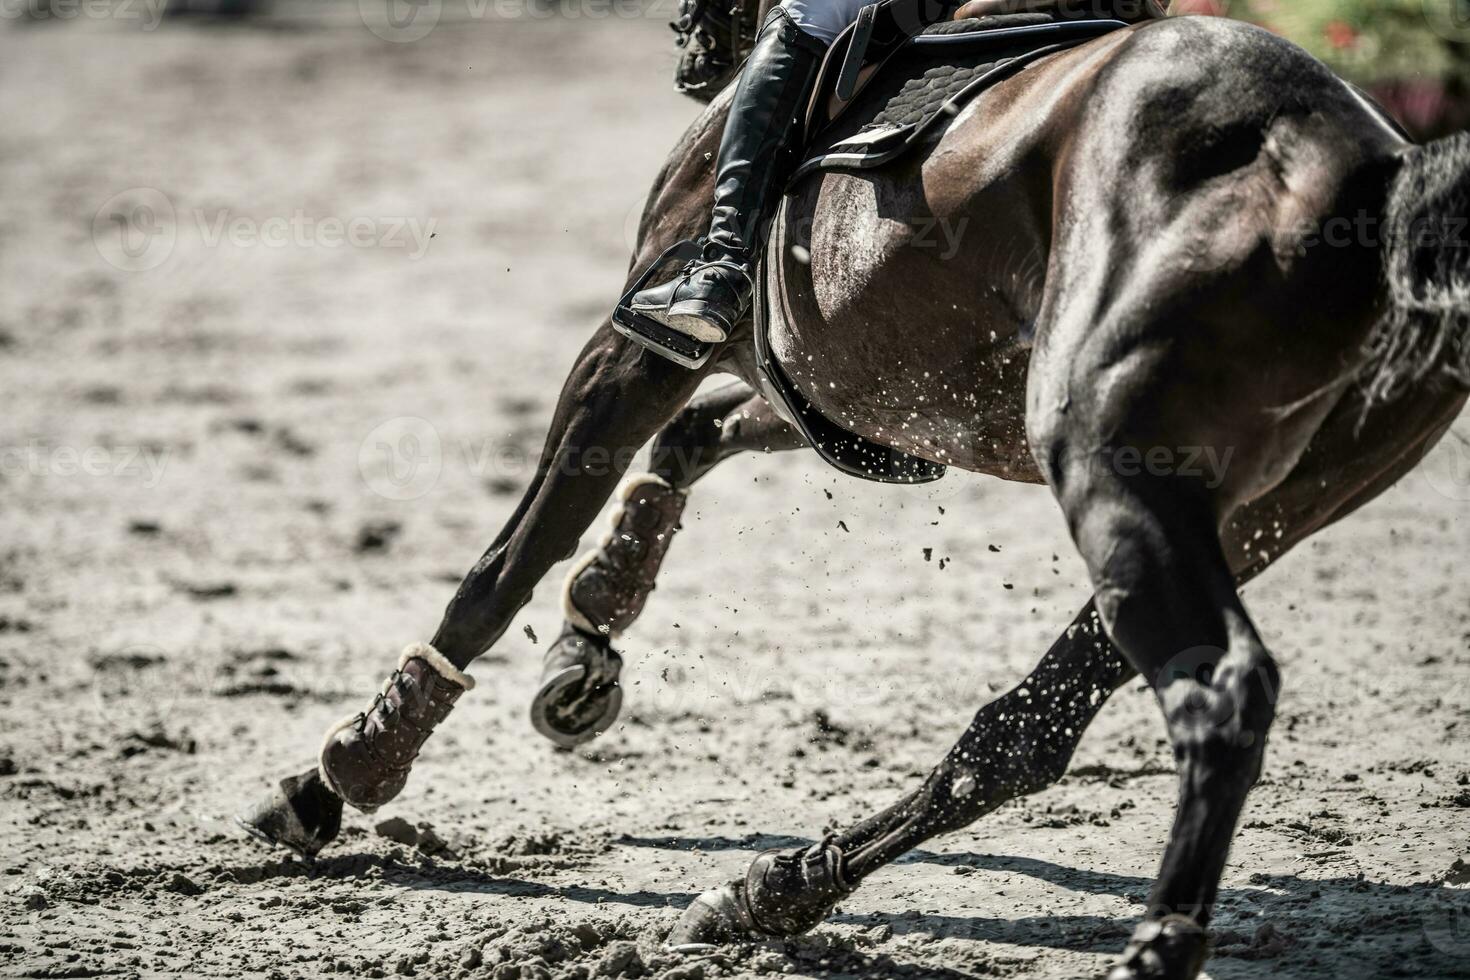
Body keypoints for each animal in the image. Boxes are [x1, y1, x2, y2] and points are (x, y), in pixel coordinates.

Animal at [241, 3, 1470, 975]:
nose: (690, 46)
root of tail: (1372, 173)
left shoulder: (641, 340)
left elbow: (509, 560)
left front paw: (348, 767)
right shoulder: (852, 392)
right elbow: (691, 443)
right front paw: (591, 635)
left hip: (1109, 459)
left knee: (1213, 692)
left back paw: (1143, 950)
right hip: (1260, 511)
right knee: (1022, 735)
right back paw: (773, 891)